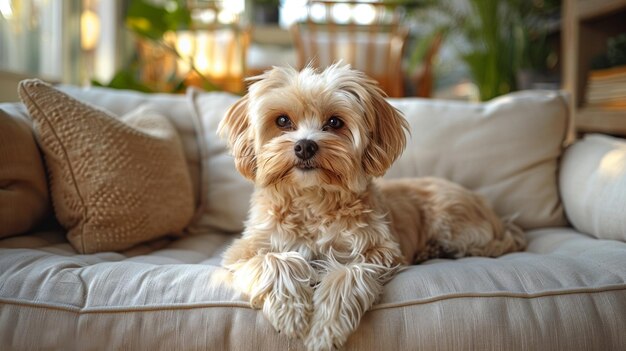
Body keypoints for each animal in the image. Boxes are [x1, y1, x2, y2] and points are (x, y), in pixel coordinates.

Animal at [217, 64, 524, 351]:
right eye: (282, 120)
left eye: (334, 122)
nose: (305, 146)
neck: (314, 199)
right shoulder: (243, 251)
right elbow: (275, 260)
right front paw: (291, 313)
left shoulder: (377, 252)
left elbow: (346, 276)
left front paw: (324, 329)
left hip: (449, 220)